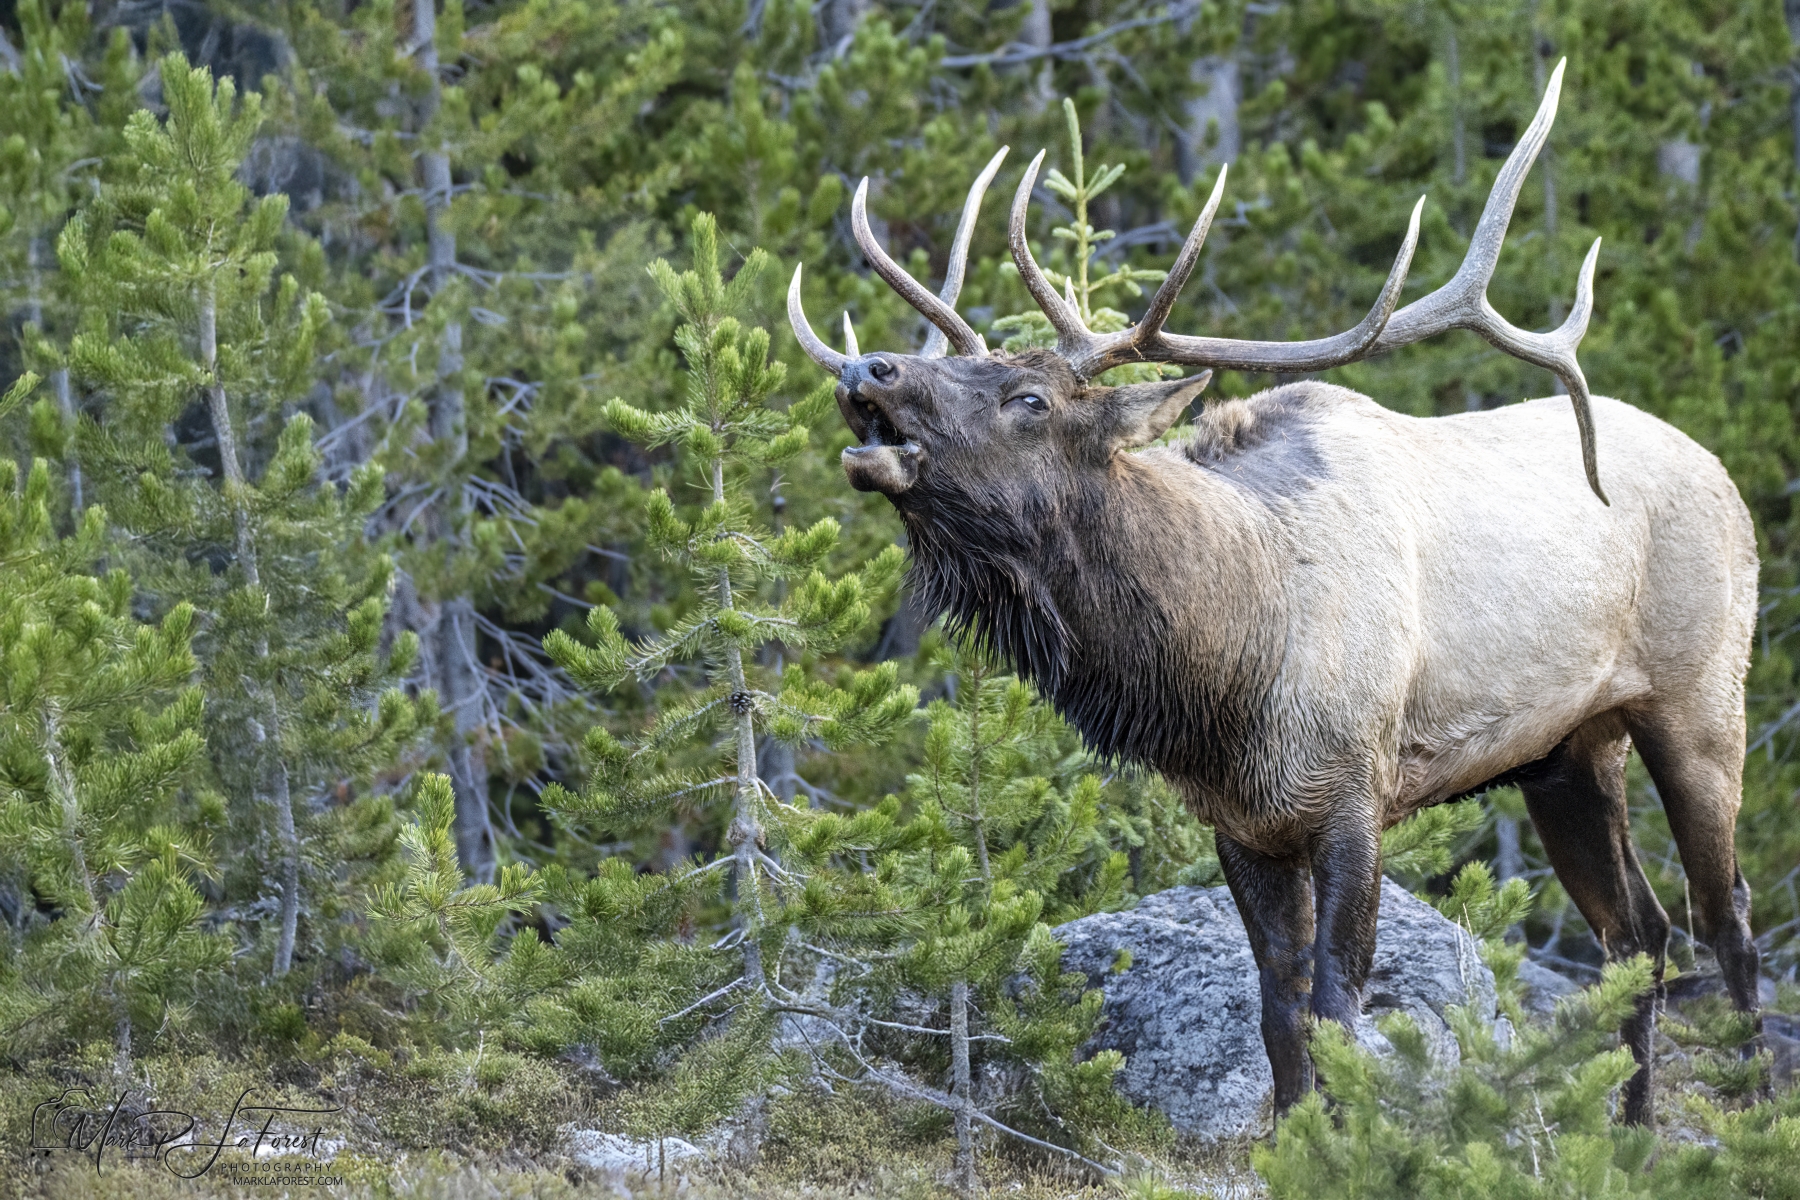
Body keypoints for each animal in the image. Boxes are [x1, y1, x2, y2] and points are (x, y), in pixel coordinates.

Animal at [786, 60, 1763, 1128]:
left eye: (1029, 399)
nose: (869, 365)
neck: (1227, 670)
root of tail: (1723, 473)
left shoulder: (1354, 790)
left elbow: (1338, 1005)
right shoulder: (1241, 823)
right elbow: (1280, 1015)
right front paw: (1295, 1135)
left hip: (1702, 697)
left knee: (1727, 918)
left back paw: (1755, 1104)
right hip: (1566, 750)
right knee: (1639, 933)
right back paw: (1631, 1129)